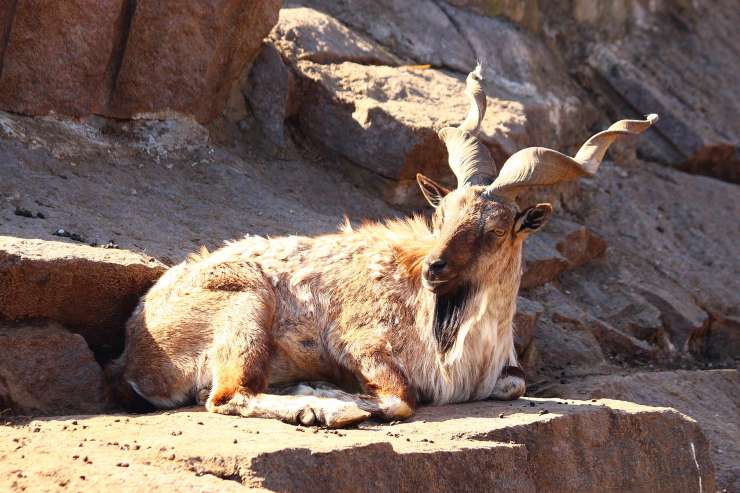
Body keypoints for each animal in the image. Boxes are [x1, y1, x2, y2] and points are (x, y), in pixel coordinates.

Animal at [108, 64, 652, 426]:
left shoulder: (506, 371)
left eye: (497, 229)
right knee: (227, 395)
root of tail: (136, 348)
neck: (456, 339)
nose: (435, 269)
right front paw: (333, 393)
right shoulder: (360, 341)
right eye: (440, 215)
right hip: (245, 306)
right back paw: (320, 407)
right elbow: (400, 398)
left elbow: (515, 384)